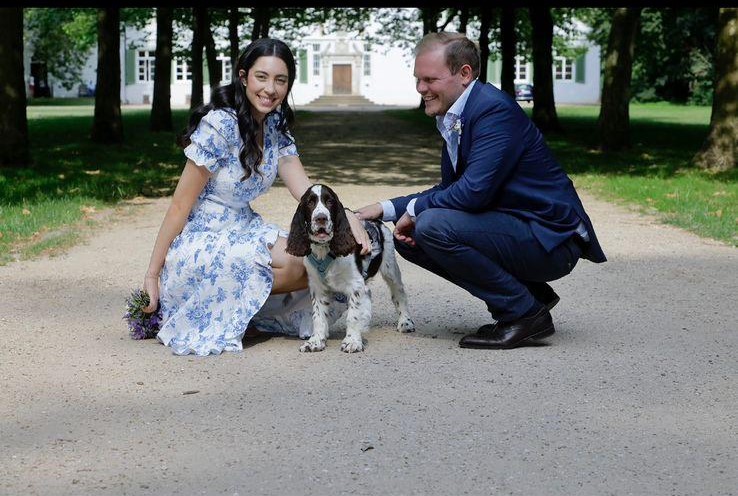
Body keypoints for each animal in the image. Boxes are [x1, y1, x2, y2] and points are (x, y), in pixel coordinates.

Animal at [284, 183, 414, 352]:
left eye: (330, 202)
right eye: (310, 202)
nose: (321, 218)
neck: (325, 250)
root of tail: (374, 220)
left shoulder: (355, 284)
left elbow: (353, 315)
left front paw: (352, 341)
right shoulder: (317, 287)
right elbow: (318, 316)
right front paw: (315, 341)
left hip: (390, 267)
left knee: (399, 294)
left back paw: (405, 322)